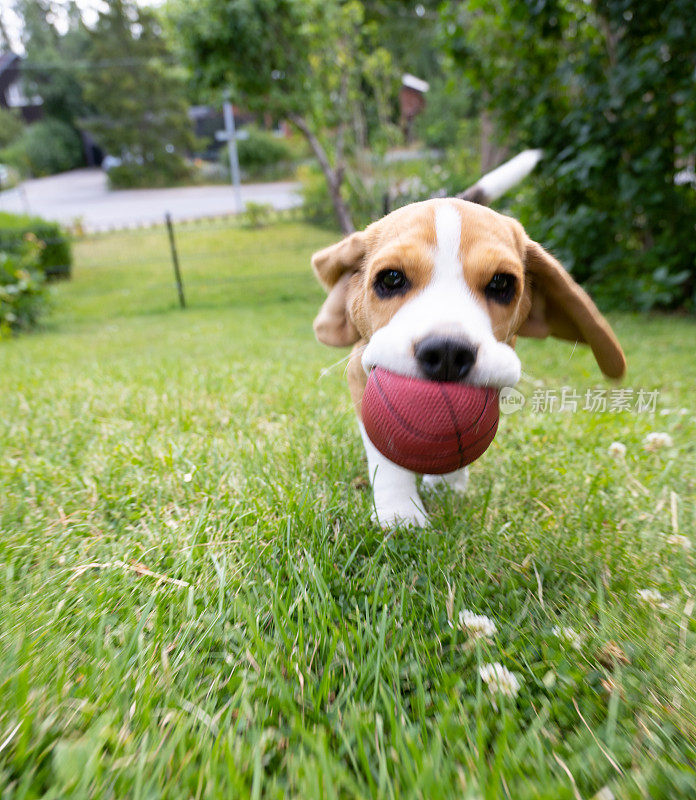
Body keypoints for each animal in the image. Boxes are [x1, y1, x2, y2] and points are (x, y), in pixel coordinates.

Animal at [310, 197, 624, 528]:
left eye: (501, 283)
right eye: (391, 278)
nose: (447, 352)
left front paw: (447, 485)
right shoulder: (360, 374)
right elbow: (385, 449)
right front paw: (400, 513)